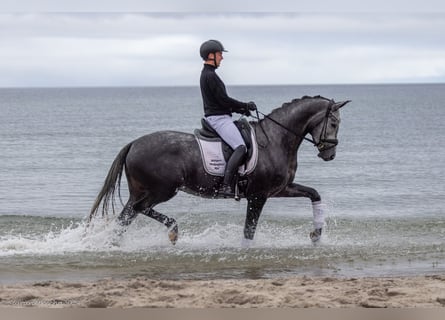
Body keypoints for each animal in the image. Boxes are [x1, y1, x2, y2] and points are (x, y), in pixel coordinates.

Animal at [88, 95, 348, 245]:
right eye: (334, 123)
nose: (330, 155)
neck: (276, 139)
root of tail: (134, 143)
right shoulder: (258, 196)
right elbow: (249, 231)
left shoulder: (280, 189)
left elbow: (314, 194)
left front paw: (316, 235)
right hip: (162, 190)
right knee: (138, 210)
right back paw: (173, 231)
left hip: (142, 191)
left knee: (126, 217)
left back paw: (114, 246)